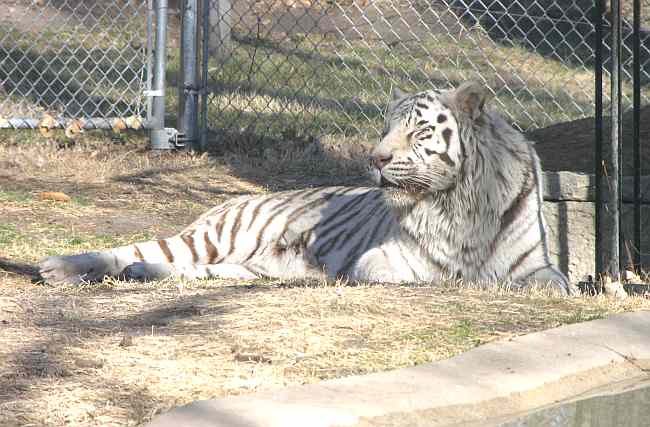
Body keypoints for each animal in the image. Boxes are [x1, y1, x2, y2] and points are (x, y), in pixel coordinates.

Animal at [39, 81, 572, 295]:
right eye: (385, 129)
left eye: (419, 131)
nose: (375, 159)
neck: (460, 204)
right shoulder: (381, 262)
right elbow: (428, 276)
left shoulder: (540, 269)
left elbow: (554, 285)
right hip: (210, 237)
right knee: (134, 249)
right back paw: (57, 269)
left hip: (244, 267)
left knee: (184, 270)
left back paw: (138, 274)